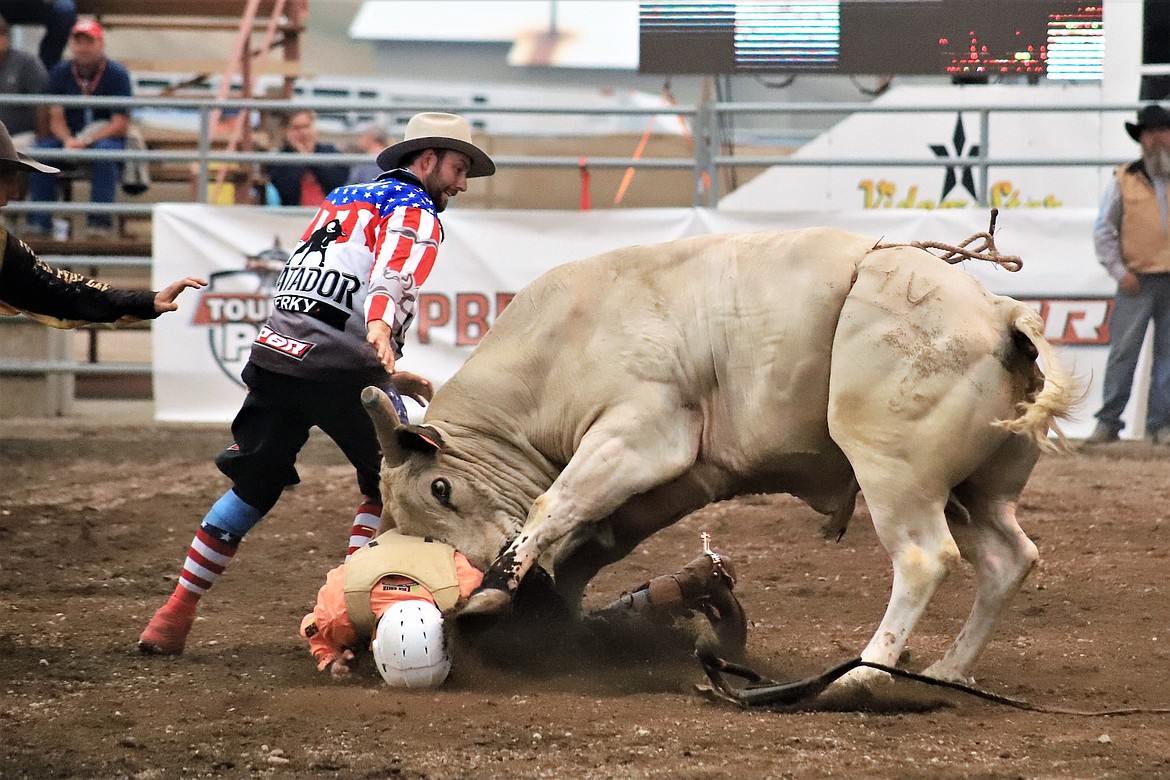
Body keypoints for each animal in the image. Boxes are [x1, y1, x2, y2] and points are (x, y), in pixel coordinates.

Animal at [360, 229, 1071, 687]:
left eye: (442, 489)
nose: (476, 578)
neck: (560, 347)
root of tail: (997, 312)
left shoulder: (639, 436)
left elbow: (554, 504)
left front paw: (497, 592)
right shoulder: (679, 479)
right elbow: (594, 539)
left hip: (898, 474)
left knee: (925, 560)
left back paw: (860, 679)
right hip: (974, 492)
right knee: (1008, 559)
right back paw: (950, 669)